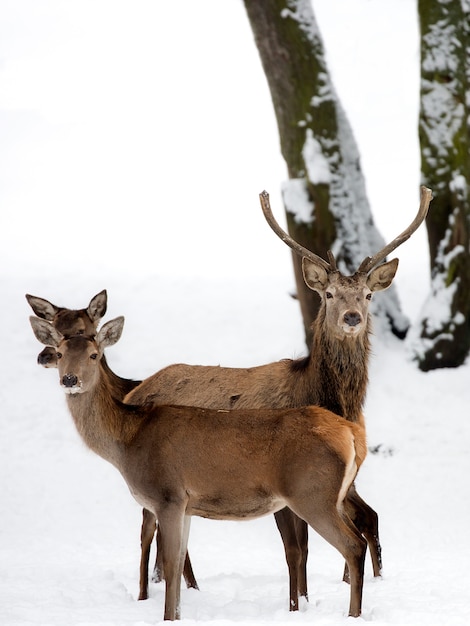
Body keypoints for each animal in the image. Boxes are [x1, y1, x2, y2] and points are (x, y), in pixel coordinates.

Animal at [29, 316, 370, 620]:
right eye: (60, 353)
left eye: (94, 354)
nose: (70, 380)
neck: (128, 440)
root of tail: (351, 433)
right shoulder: (187, 505)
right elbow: (180, 560)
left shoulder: (168, 495)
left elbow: (170, 563)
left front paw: (167, 616)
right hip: (333, 496)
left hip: (312, 493)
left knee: (353, 545)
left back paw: (353, 614)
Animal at [124, 185, 434, 604]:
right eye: (329, 294)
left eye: (368, 295)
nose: (352, 317)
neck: (323, 398)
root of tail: (136, 389)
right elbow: (296, 549)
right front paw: (298, 602)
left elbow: (324, 539)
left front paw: (308, 599)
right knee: (147, 530)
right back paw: (146, 592)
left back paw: (187, 586)